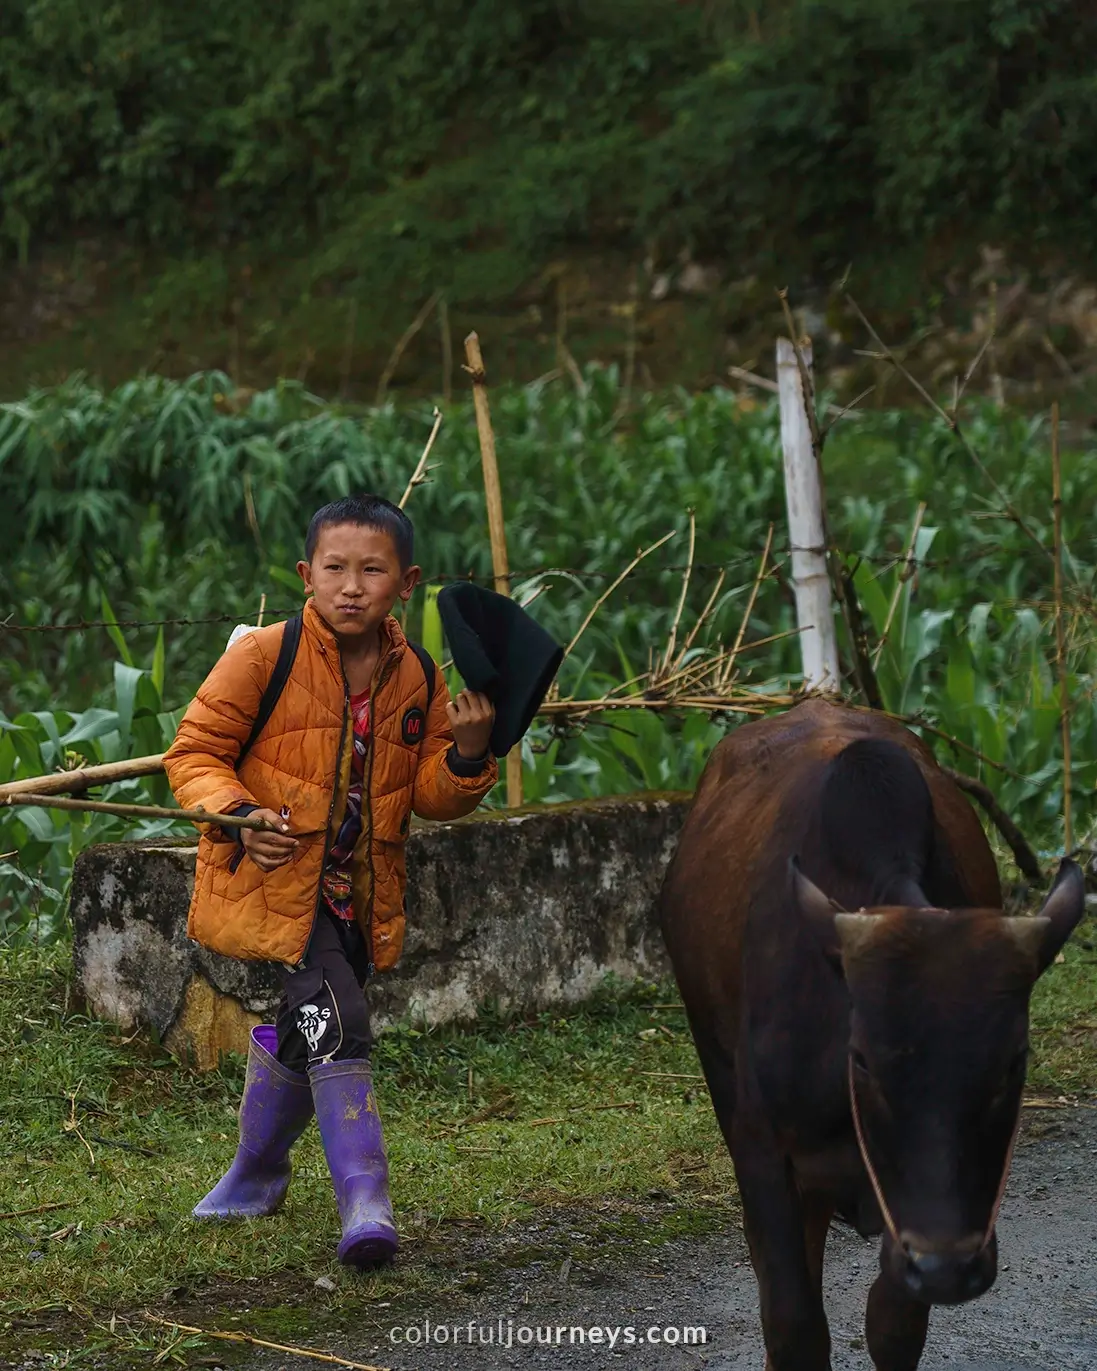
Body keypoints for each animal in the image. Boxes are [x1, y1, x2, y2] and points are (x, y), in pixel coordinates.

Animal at [660, 701, 1080, 1371]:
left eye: (1014, 1063)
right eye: (861, 1059)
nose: (947, 1266)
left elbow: (893, 1323)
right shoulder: (762, 1148)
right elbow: (794, 1324)